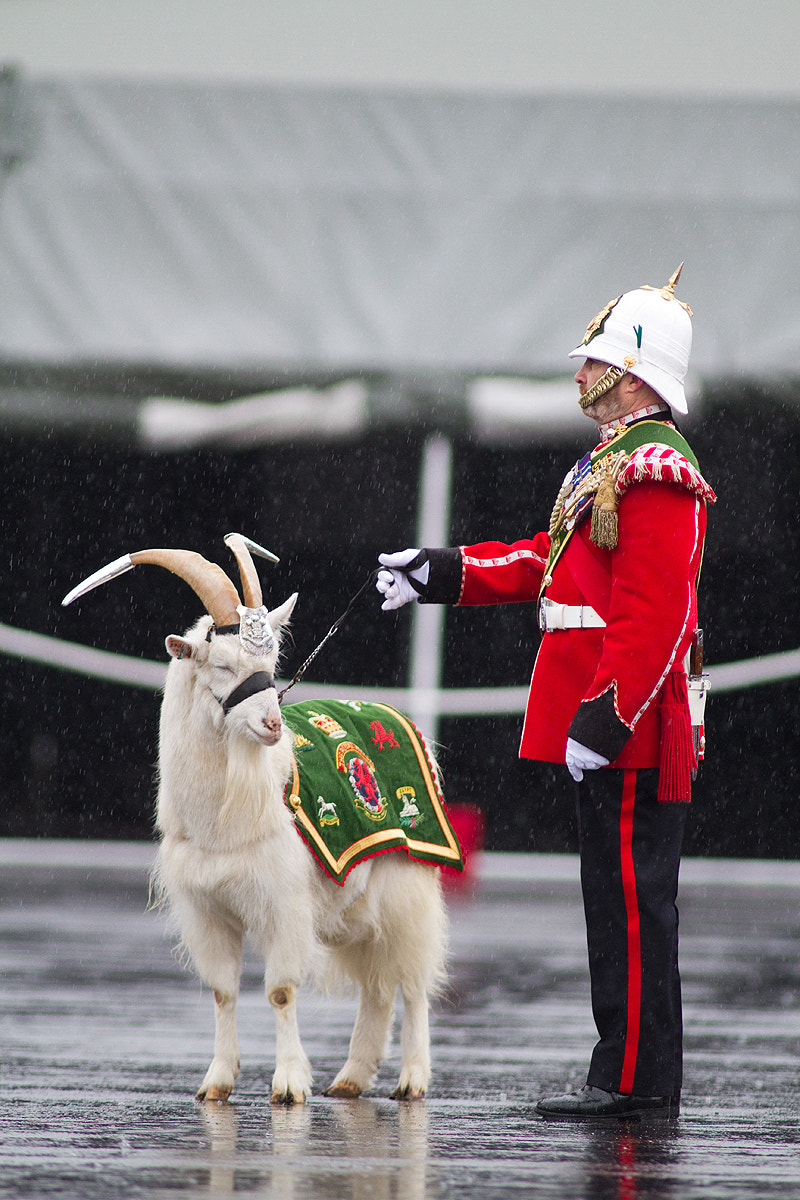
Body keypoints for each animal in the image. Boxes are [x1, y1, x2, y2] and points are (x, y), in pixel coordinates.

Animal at [61, 535, 450, 1104]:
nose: (271, 723)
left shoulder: (281, 904)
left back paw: (412, 1080)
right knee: (377, 986)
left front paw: (288, 1085)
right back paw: (351, 1079)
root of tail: (396, 718)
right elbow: (223, 992)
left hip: (407, 883)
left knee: (412, 978)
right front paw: (216, 1083)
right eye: (222, 666)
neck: (220, 824)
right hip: (354, 907)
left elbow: (281, 992)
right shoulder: (208, 911)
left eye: (274, 658)